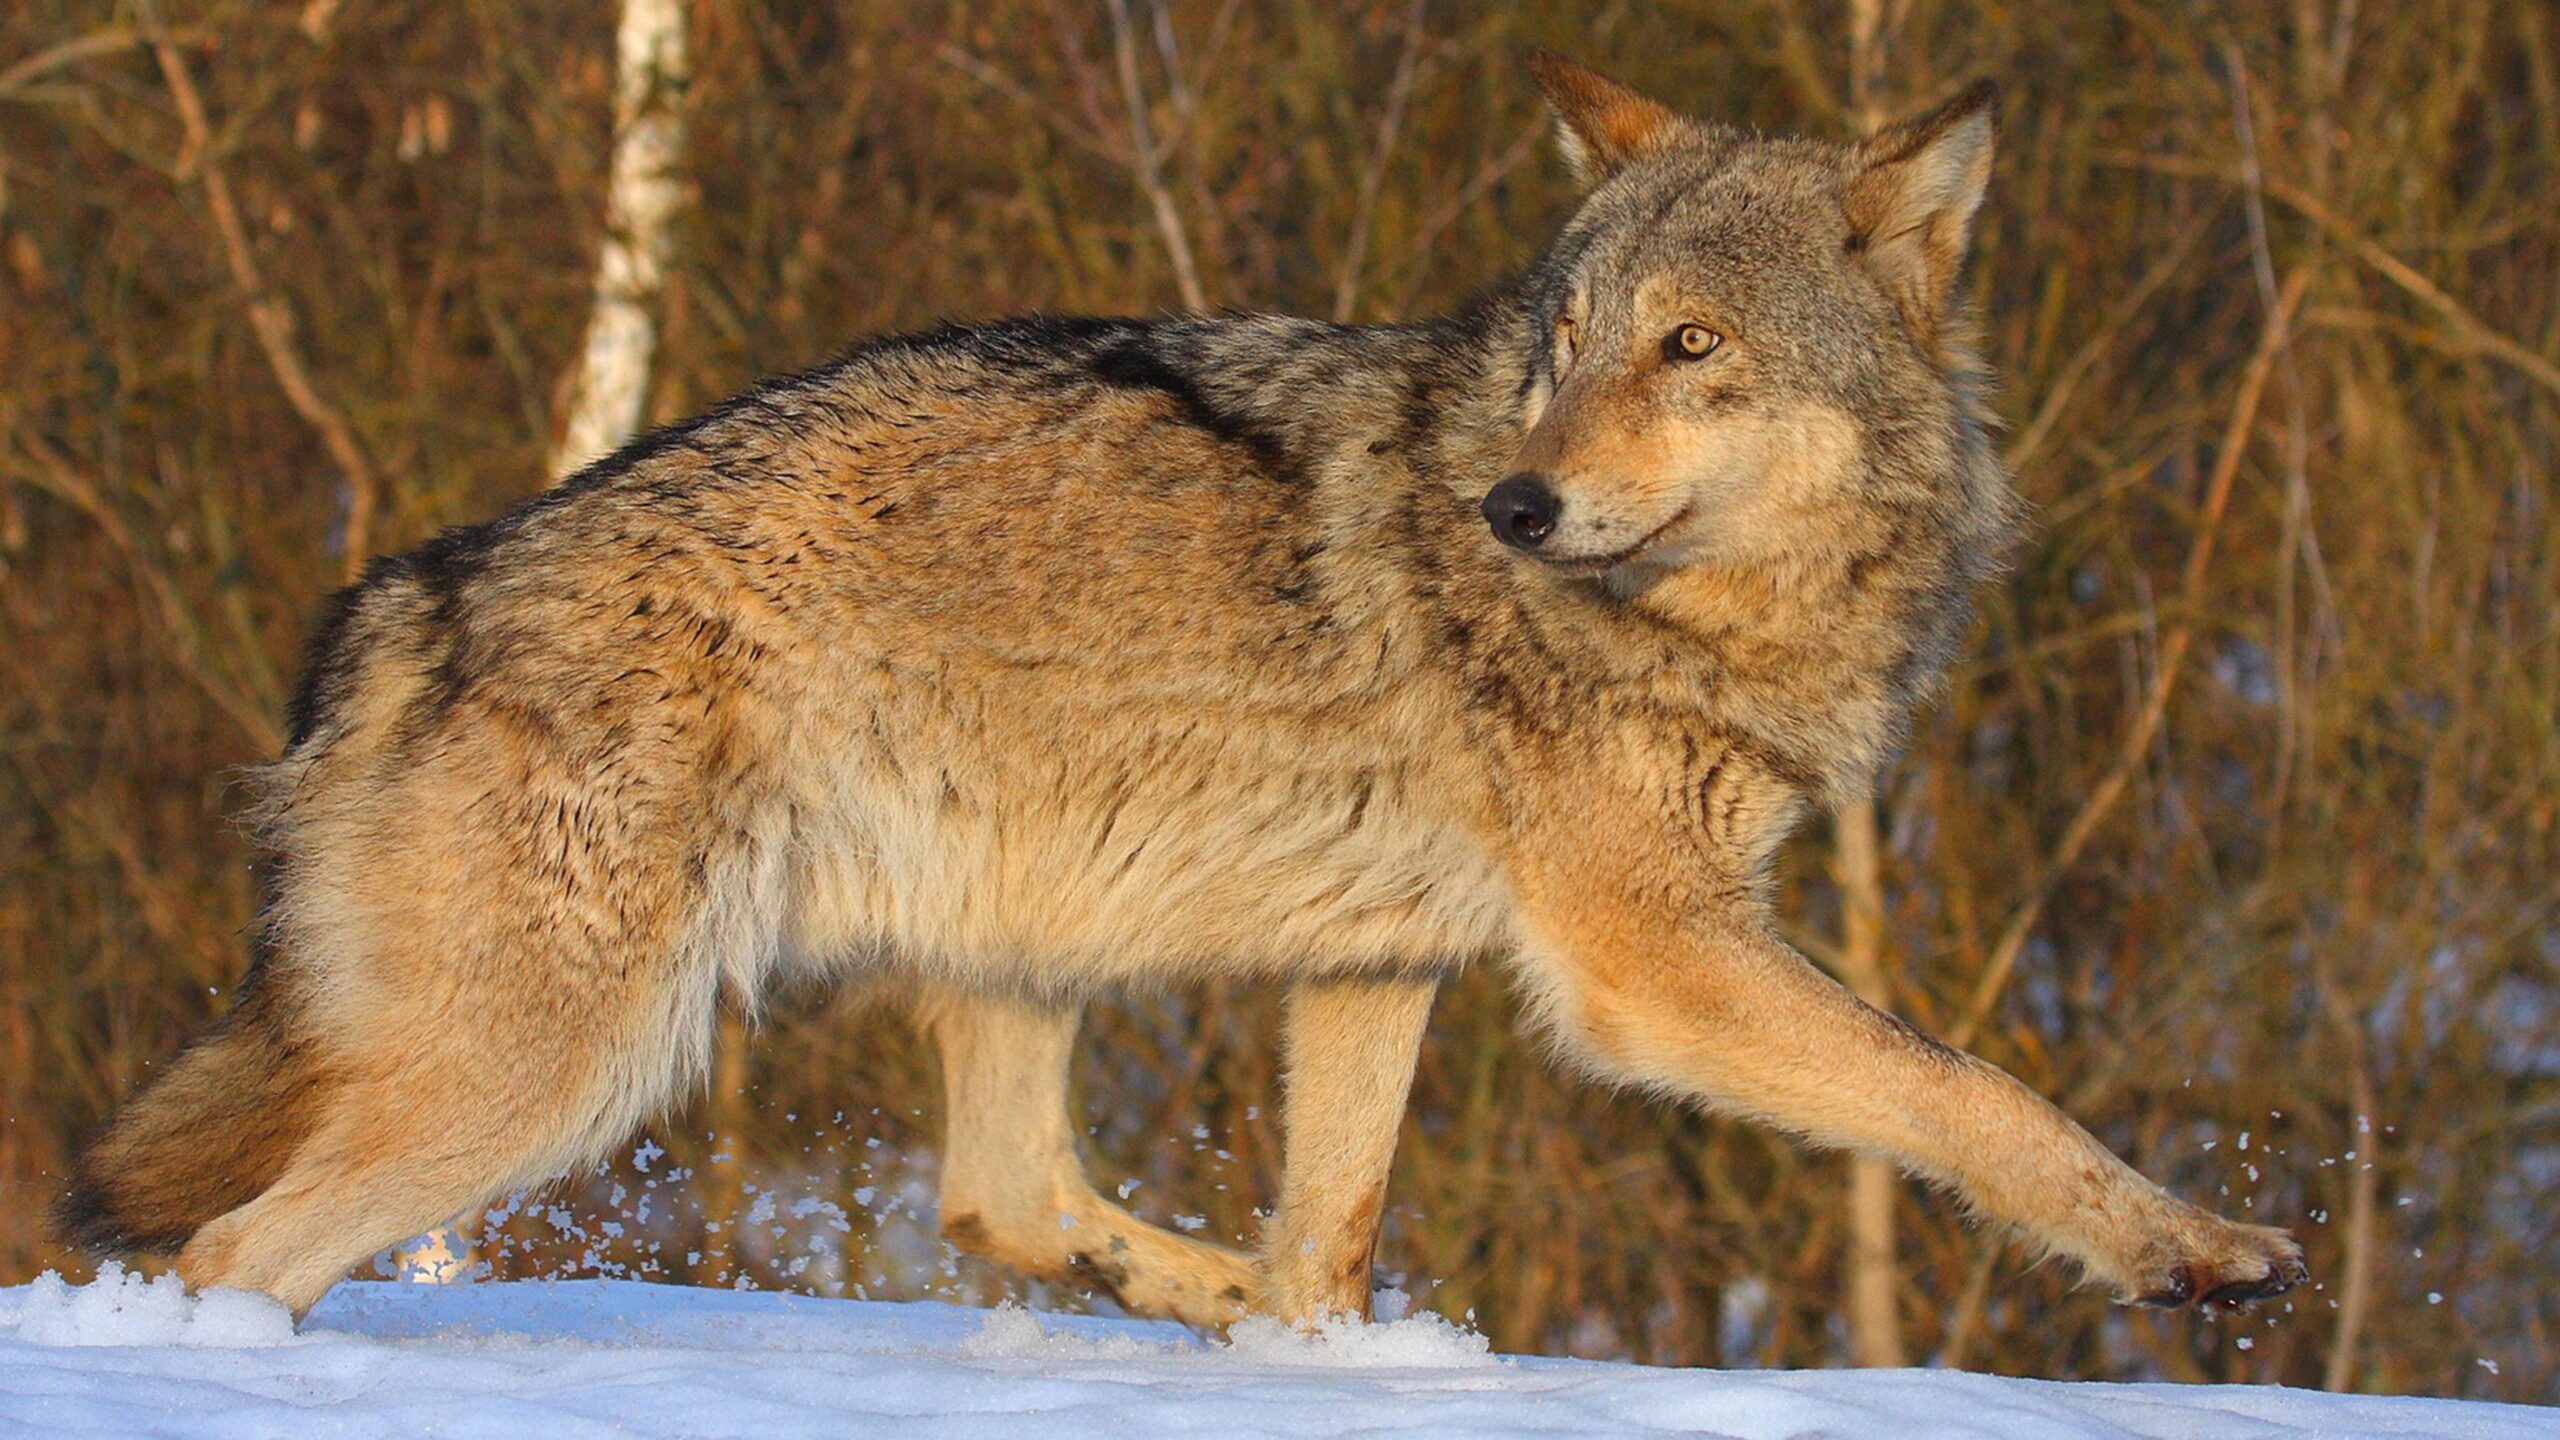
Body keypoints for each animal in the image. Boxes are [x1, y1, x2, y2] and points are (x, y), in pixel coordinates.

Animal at [58, 55, 2305, 1329]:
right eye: (1572, 342)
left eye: (1688, 349)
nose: (1512, 502)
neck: (1713, 614)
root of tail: (401, 596)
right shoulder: (1650, 960)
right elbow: (1972, 1093)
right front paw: (2190, 1249)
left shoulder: (1374, 967)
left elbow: (1336, 1223)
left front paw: (1316, 1342)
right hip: (569, 1070)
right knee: (230, 1258)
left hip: (1005, 952)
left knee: (1004, 1201)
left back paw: (1231, 1313)